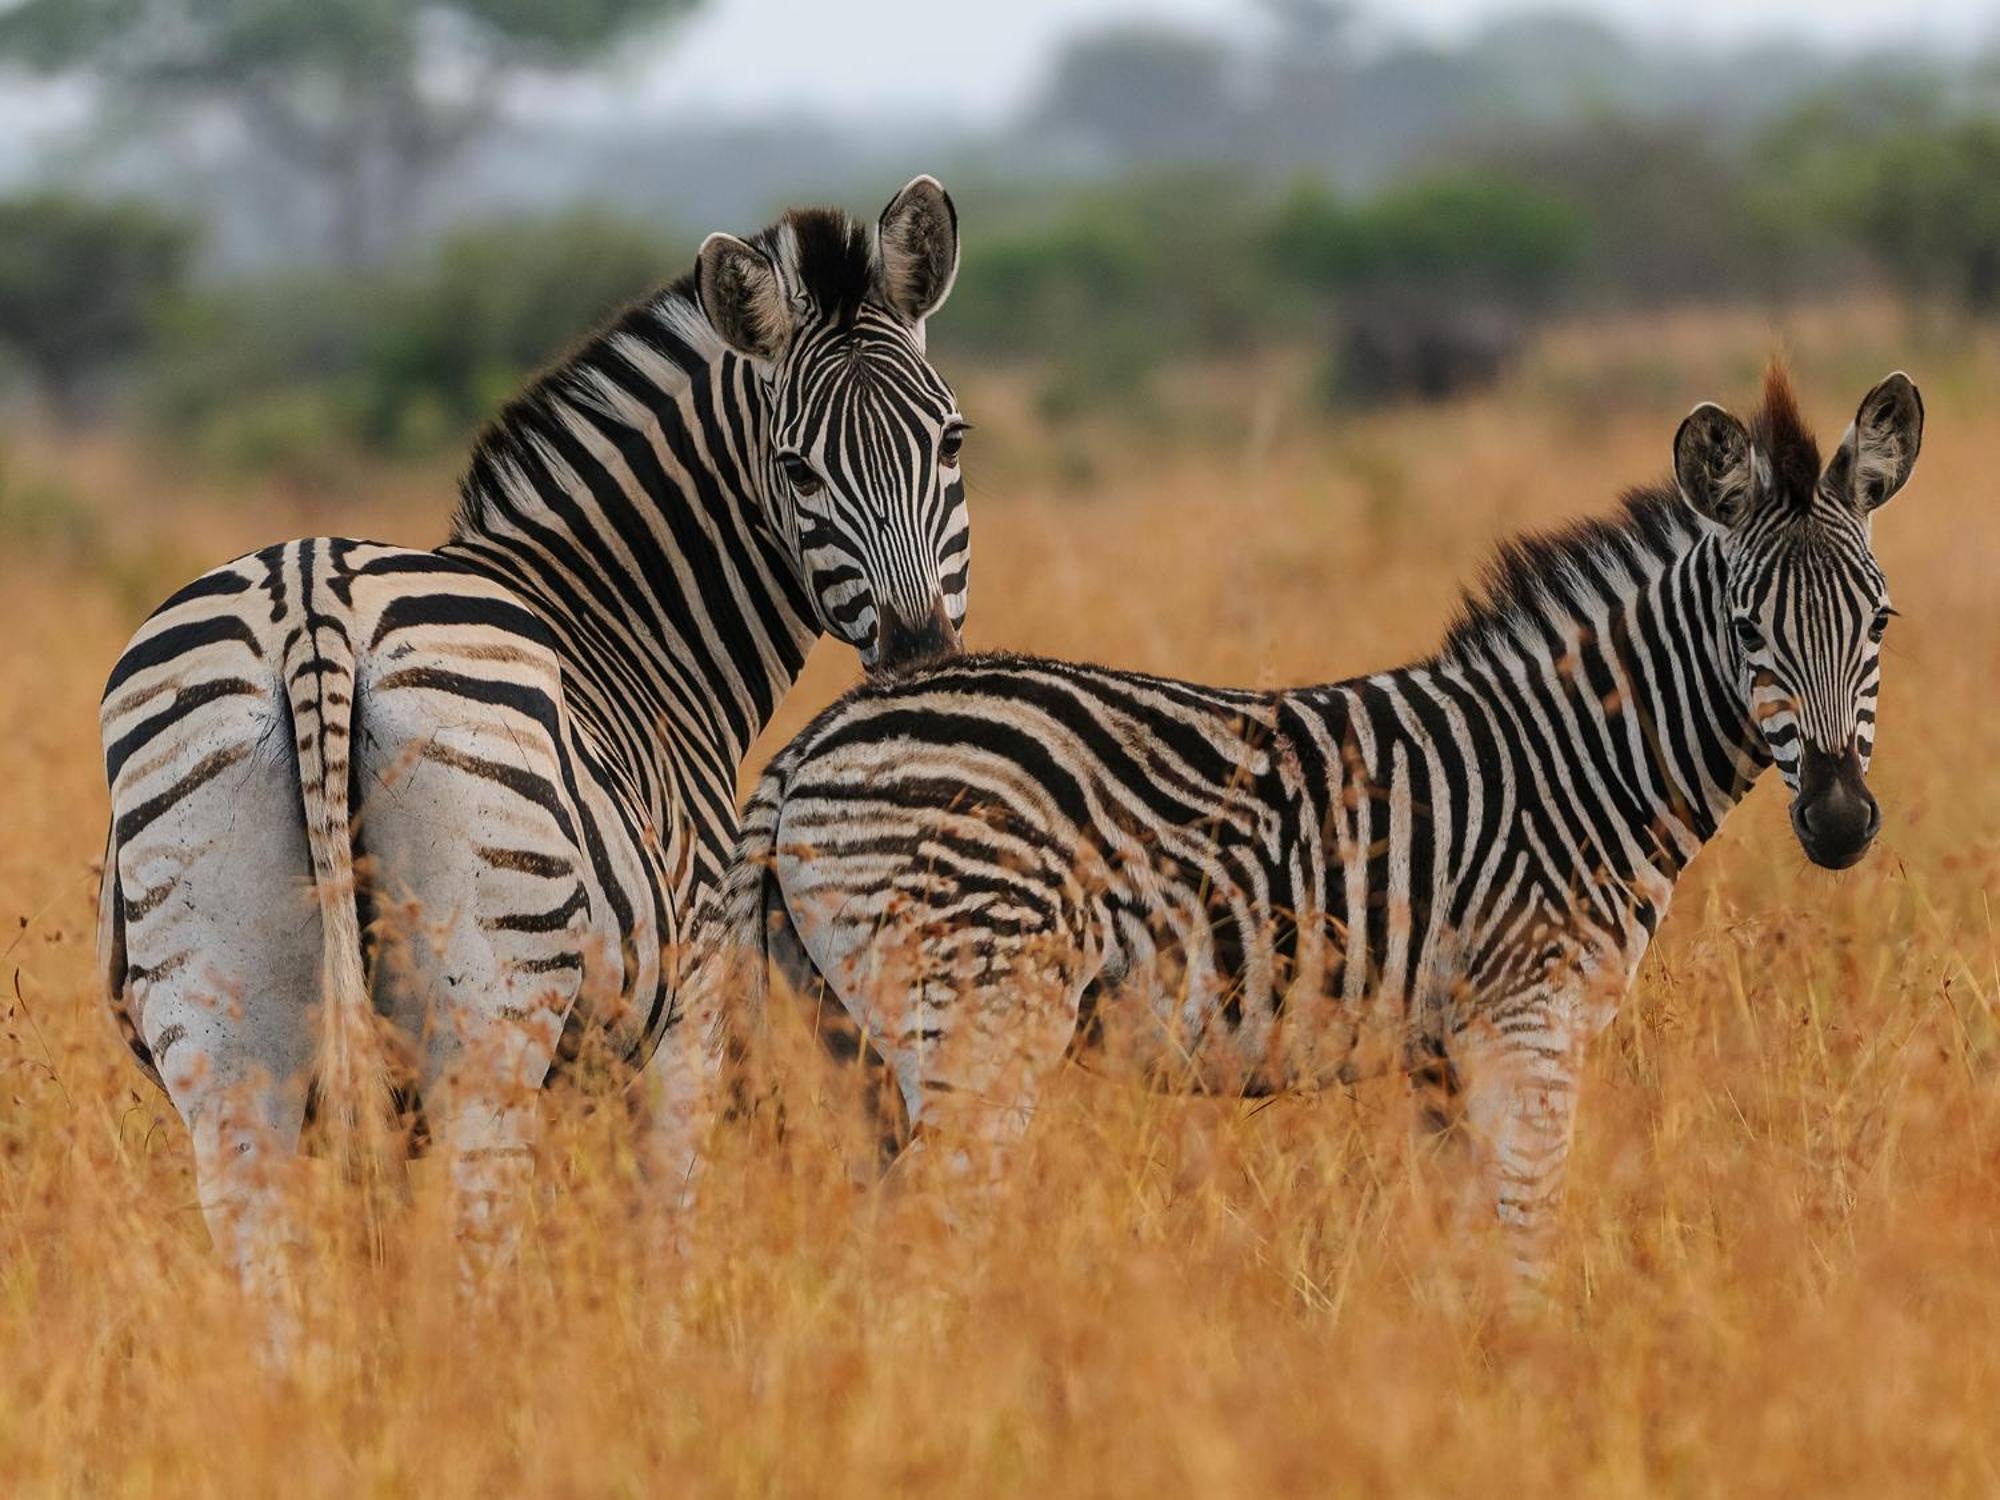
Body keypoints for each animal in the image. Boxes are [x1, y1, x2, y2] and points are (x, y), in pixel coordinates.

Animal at [103, 179, 976, 1312]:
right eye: (796, 470)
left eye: (949, 443)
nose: (918, 655)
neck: (628, 623)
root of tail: (311, 599)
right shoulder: (686, 1013)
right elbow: (660, 1236)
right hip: (489, 1016)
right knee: (481, 1251)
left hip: (224, 1026)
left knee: (270, 1263)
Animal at [684, 364, 1920, 1296]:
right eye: (1747, 627)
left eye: (1879, 621)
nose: (1838, 821)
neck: (1577, 764)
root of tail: (818, 737)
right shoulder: (1527, 1017)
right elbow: (1526, 1230)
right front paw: (1534, 1374)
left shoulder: (1444, 1043)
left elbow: (1466, 1235)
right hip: (979, 1012)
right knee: (933, 1224)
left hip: (856, 1034)